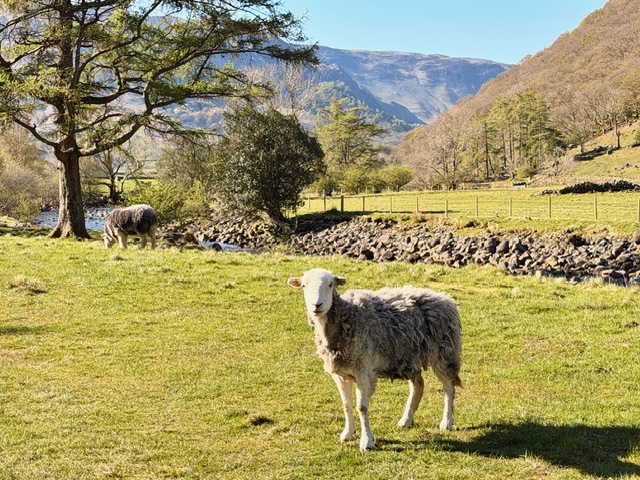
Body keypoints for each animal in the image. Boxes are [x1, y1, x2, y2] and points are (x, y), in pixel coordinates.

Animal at [287, 268, 462, 451]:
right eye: (304, 286)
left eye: (330, 284)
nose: (316, 305)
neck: (346, 319)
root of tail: (444, 297)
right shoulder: (340, 374)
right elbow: (346, 404)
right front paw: (347, 433)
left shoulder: (364, 370)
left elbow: (361, 407)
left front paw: (367, 441)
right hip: (410, 356)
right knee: (418, 385)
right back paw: (406, 420)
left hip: (445, 352)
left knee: (449, 387)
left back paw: (446, 422)